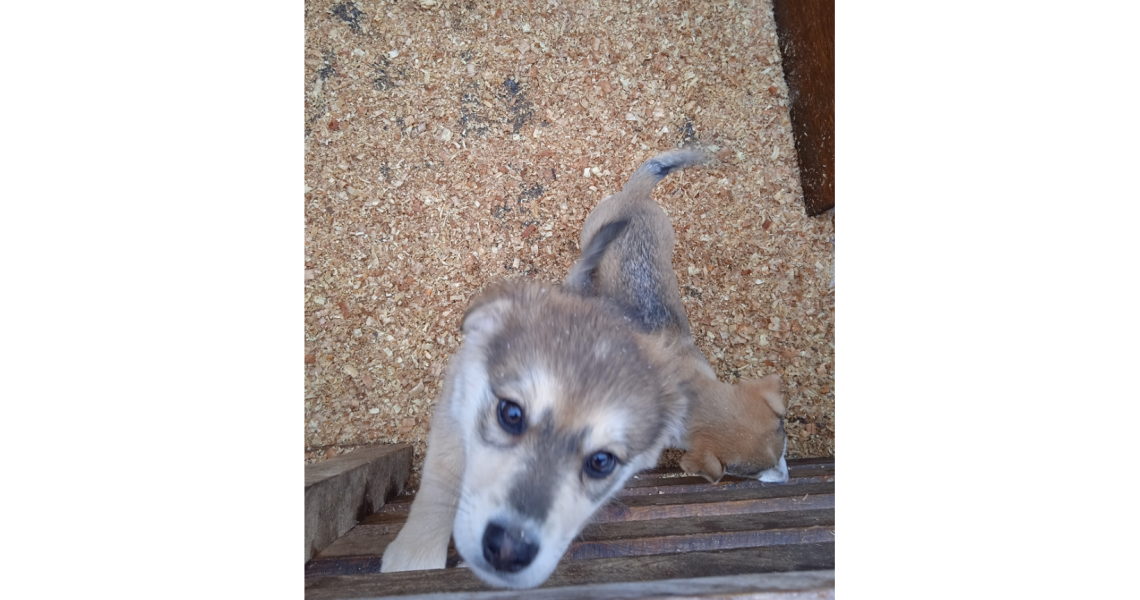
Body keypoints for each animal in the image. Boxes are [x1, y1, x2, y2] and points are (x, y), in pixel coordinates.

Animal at [380, 279, 684, 588]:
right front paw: (415, 557)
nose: (508, 550)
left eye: (601, 461)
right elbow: (442, 478)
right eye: (511, 414)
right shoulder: (453, 407)